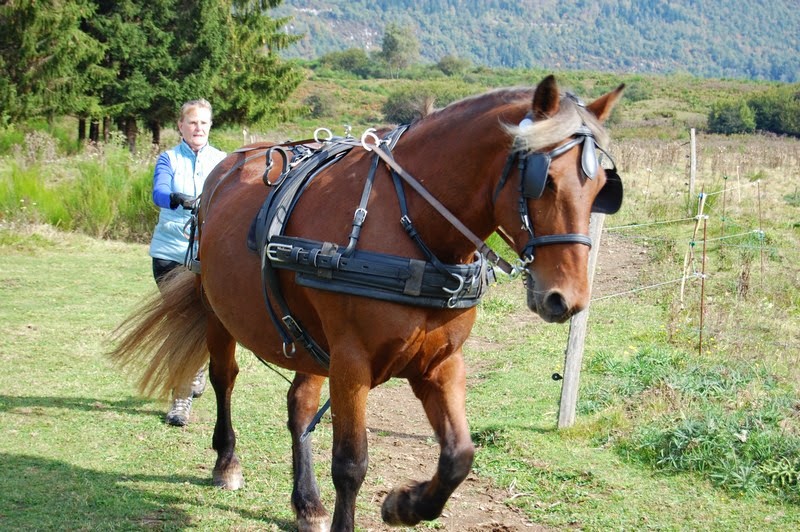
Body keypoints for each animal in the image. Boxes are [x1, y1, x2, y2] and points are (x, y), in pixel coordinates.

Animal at [109, 74, 624, 531]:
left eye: (603, 188)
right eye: (544, 180)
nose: (566, 298)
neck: (414, 232)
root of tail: (226, 167)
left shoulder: (440, 362)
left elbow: (459, 456)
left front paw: (405, 505)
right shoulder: (351, 361)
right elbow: (351, 463)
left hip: (306, 339)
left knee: (299, 405)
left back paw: (307, 504)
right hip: (221, 314)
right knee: (224, 378)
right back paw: (227, 462)